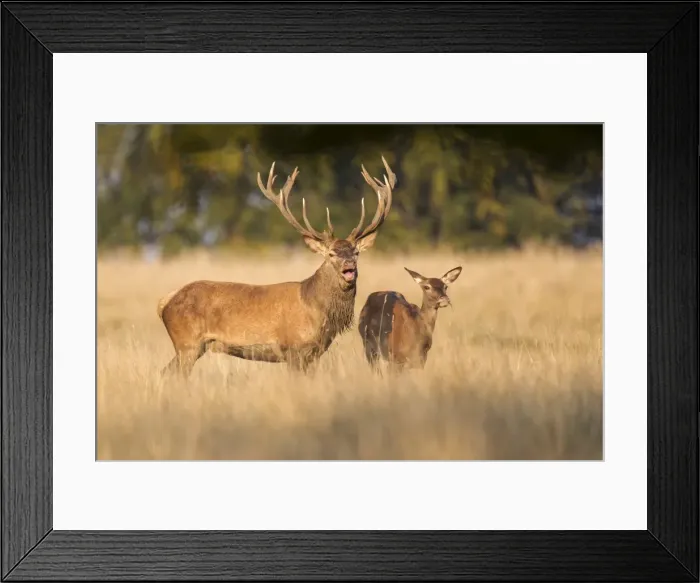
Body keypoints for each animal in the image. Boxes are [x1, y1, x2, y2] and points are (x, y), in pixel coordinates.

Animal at [157, 156, 397, 378]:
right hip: (187, 343)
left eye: (356, 252)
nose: (349, 265)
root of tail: (165, 302)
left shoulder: (314, 354)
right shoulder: (293, 349)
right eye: (331, 254)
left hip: (192, 347)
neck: (316, 309)